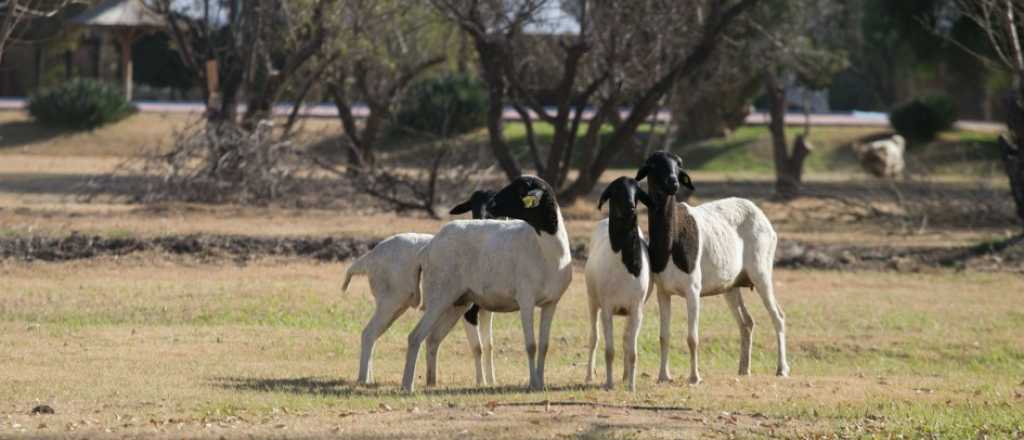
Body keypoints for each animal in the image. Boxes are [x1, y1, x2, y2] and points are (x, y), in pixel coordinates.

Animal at [401, 174, 577, 390]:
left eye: (519, 190)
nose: (492, 205)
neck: (547, 251)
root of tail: (428, 247)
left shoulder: (551, 303)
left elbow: (544, 346)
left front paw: (541, 384)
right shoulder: (526, 300)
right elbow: (531, 345)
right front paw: (533, 383)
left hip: (459, 303)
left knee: (433, 338)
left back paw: (431, 382)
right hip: (439, 297)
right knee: (415, 336)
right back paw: (407, 385)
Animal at [589, 177, 651, 390]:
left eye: (637, 192)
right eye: (615, 191)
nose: (631, 207)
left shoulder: (636, 309)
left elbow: (632, 351)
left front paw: (631, 386)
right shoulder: (607, 308)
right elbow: (609, 350)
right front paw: (608, 384)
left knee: (625, 339)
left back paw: (625, 376)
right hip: (592, 302)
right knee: (594, 338)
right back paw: (588, 376)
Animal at [630, 152, 790, 384]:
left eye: (677, 166)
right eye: (654, 165)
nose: (673, 182)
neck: (671, 240)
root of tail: (760, 215)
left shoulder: (692, 291)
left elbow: (692, 337)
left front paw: (694, 377)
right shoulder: (663, 292)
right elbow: (664, 336)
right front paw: (663, 376)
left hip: (761, 273)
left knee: (778, 316)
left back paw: (782, 369)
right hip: (731, 286)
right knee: (747, 322)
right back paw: (744, 368)